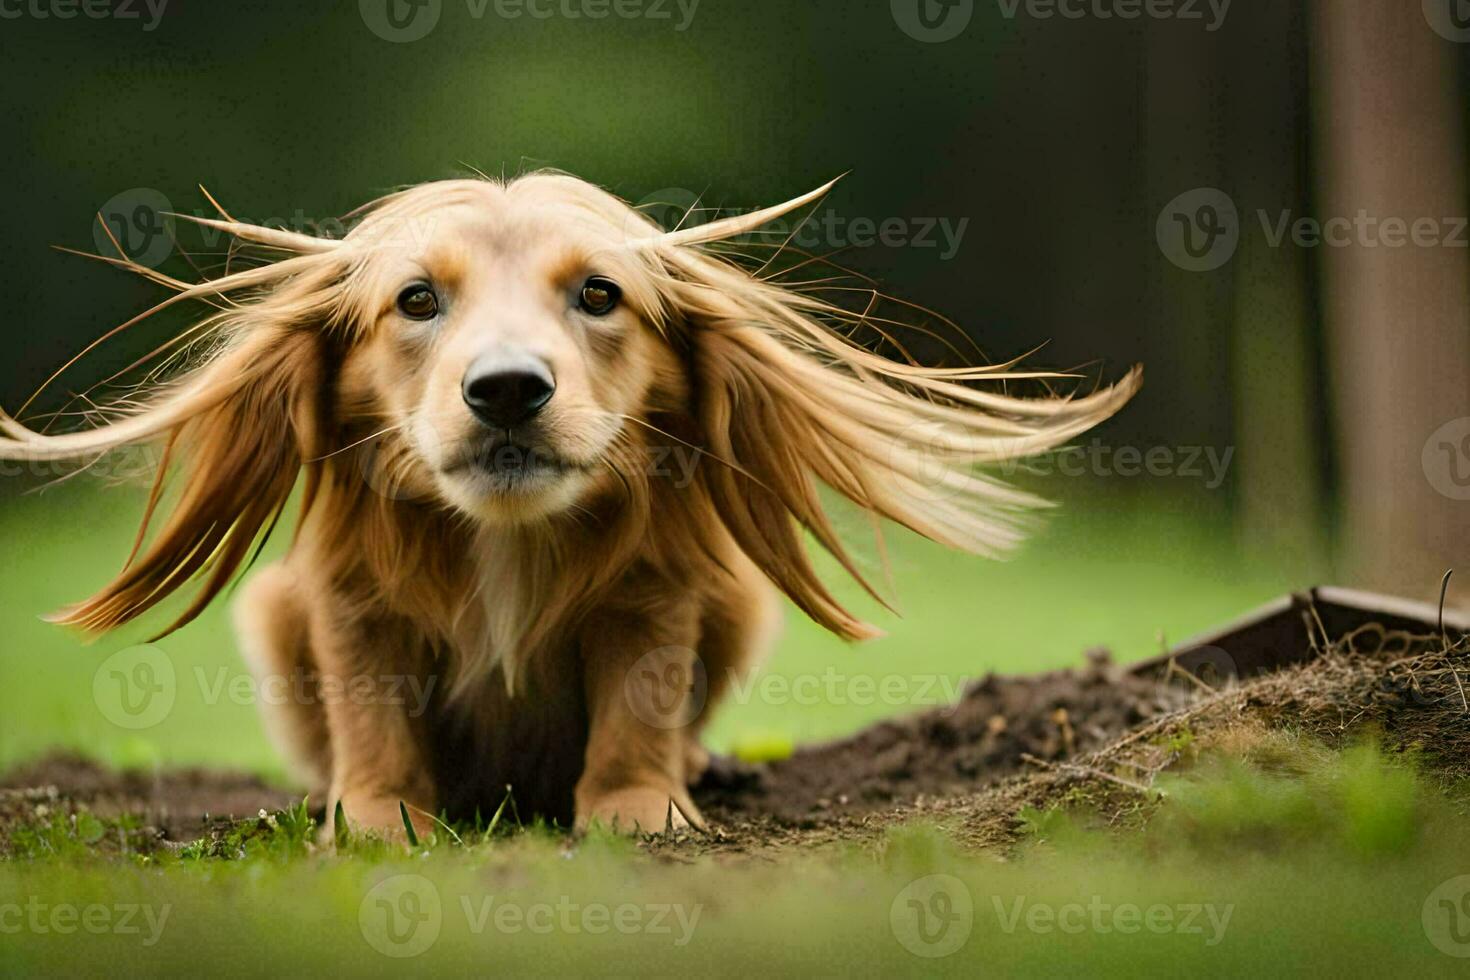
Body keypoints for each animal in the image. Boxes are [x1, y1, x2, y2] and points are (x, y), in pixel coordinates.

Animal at [0, 174, 1134, 834]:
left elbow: (638, 712)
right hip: (274, 616)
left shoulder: (657, 598)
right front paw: (377, 820)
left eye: (598, 293)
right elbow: (374, 728)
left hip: (735, 603)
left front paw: (641, 811)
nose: (507, 388)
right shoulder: (349, 606)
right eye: (417, 298)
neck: (508, 538)